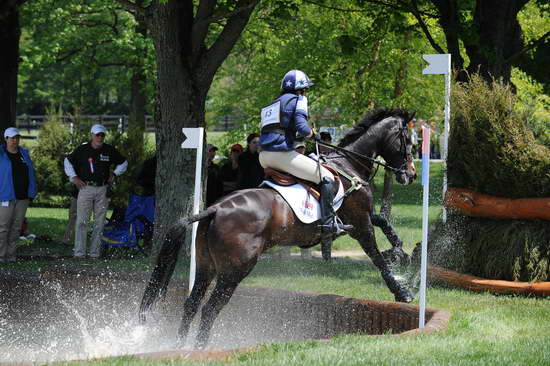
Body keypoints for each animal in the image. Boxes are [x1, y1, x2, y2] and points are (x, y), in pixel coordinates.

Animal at [141, 106, 418, 348]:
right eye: (407, 139)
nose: (412, 174)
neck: (348, 164)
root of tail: (216, 208)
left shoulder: (358, 217)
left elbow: (384, 222)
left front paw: (401, 252)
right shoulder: (360, 223)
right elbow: (377, 257)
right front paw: (402, 291)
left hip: (205, 265)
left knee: (192, 303)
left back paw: (179, 346)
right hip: (234, 270)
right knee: (210, 308)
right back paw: (199, 348)